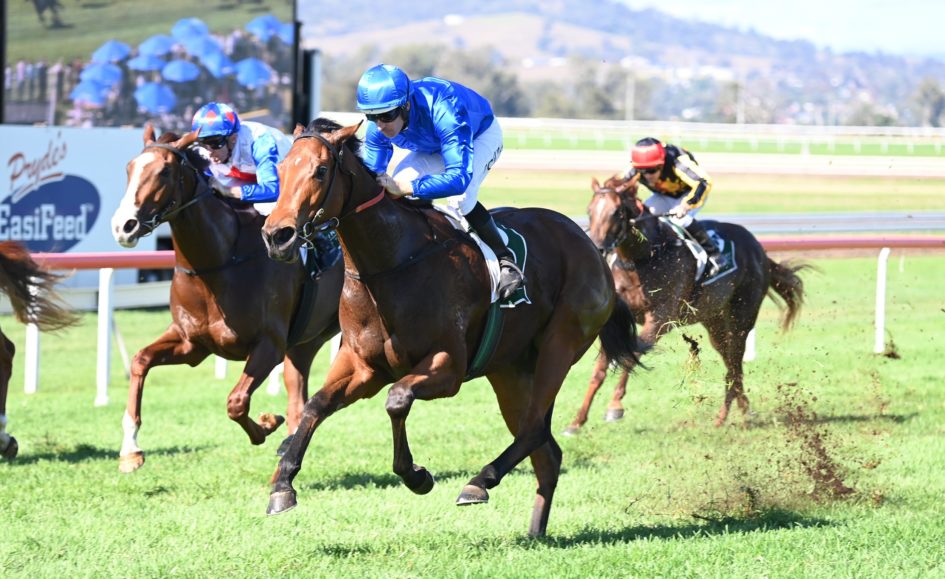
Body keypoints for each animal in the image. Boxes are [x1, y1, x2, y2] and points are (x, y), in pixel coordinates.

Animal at [110, 125, 344, 473]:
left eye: (164, 171)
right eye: (129, 169)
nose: (123, 226)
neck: (219, 262)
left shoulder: (269, 345)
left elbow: (236, 402)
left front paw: (266, 424)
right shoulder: (192, 343)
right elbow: (140, 361)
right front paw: (130, 450)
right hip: (306, 341)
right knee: (297, 386)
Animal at [258, 118, 642, 538]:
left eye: (321, 170)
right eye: (280, 169)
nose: (277, 236)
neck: (392, 263)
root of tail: (592, 248)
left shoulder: (448, 366)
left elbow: (397, 399)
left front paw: (416, 476)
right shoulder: (363, 367)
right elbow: (315, 406)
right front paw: (282, 485)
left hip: (559, 346)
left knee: (533, 429)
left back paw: (479, 482)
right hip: (510, 371)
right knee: (546, 450)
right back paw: (535, 531)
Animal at [564, 174, 808, 434]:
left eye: (617, 212)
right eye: (590, 210)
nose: (597, 248)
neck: (644, 257)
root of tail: (759, 250)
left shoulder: (660, 319)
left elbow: (631, 356)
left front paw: (614, 407)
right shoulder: (616, 323)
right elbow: (600, 369)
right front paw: (576, 422)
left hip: (742, 318)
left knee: (735, 364)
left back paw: (724, 416)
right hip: (715, 322)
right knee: (732, 365)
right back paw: (743, 412)